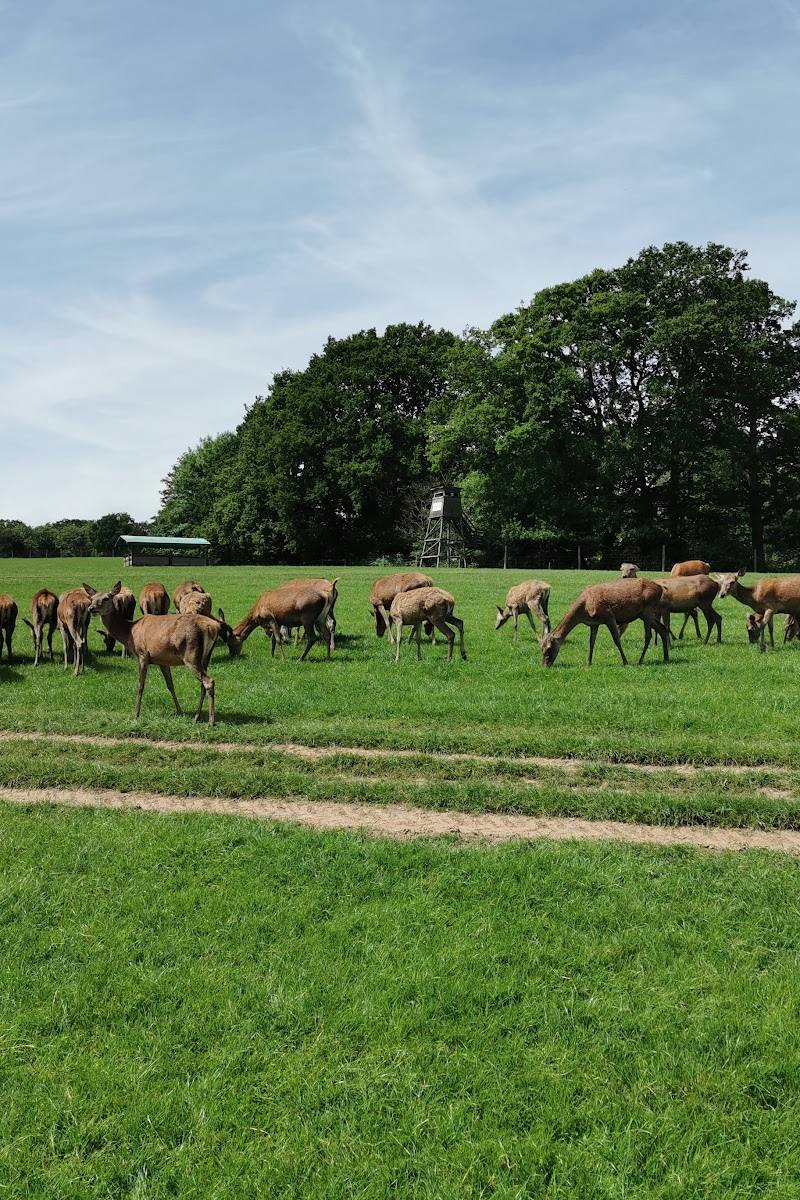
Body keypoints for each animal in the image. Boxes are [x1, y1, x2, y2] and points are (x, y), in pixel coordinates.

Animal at [87, 581, 228, 725]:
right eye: (92, 598)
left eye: (106, 598)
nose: (91, 608)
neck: (129, 632)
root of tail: (212, 627)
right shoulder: (162, 660)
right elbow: (170, 685)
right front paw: (180, 711)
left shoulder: (143, 655)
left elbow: (140, 685)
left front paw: (135, 715)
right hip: (206, 657)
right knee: (202, 684)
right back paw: (196, 716)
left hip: (191, 654)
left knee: (209, 681)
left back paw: (211, 721)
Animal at [541, 579, 669, 667]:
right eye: (541, 649)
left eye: (548, 649)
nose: (545, 665)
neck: (584, 609)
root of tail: (660, 589)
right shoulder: (594, 623)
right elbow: (591, 642)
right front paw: (588, 662)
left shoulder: (609, 616)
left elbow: (617, 640)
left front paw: (625, 661)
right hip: (645, 614)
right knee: (663, 629)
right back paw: (666, 658)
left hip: (647, 611)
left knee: (649, 635)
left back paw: (640, 660)